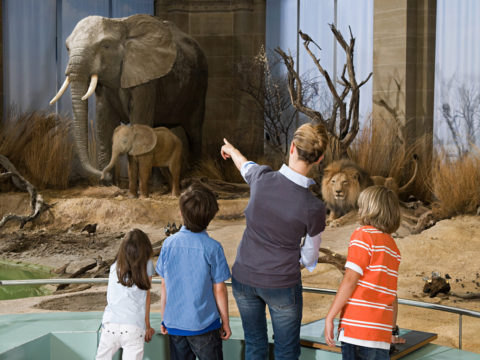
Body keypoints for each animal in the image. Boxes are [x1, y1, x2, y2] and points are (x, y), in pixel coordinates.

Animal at [50, 14, 208, 180]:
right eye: (67, 48)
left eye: (106, 45)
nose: (103, 175)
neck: (120, 23)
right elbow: (104, 122)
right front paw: (110, 183)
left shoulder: (146, 79)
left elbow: (139, 120)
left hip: (200, 85)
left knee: (194, 131)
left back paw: (195, 176)